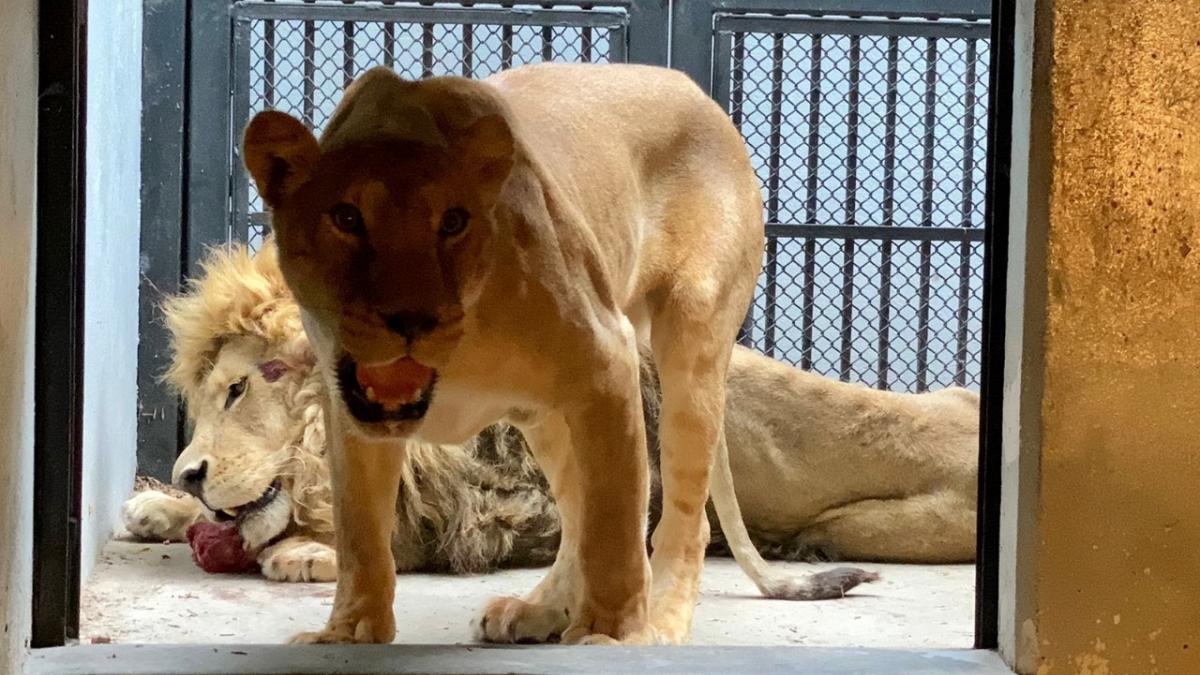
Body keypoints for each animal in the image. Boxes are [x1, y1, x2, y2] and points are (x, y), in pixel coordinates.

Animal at [126, 239, 979, 581]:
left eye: (246, 385)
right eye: (205, 392)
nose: (189, 469)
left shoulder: (506, 510)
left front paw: (304, 549)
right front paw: (158, 507)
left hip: (866, 521)